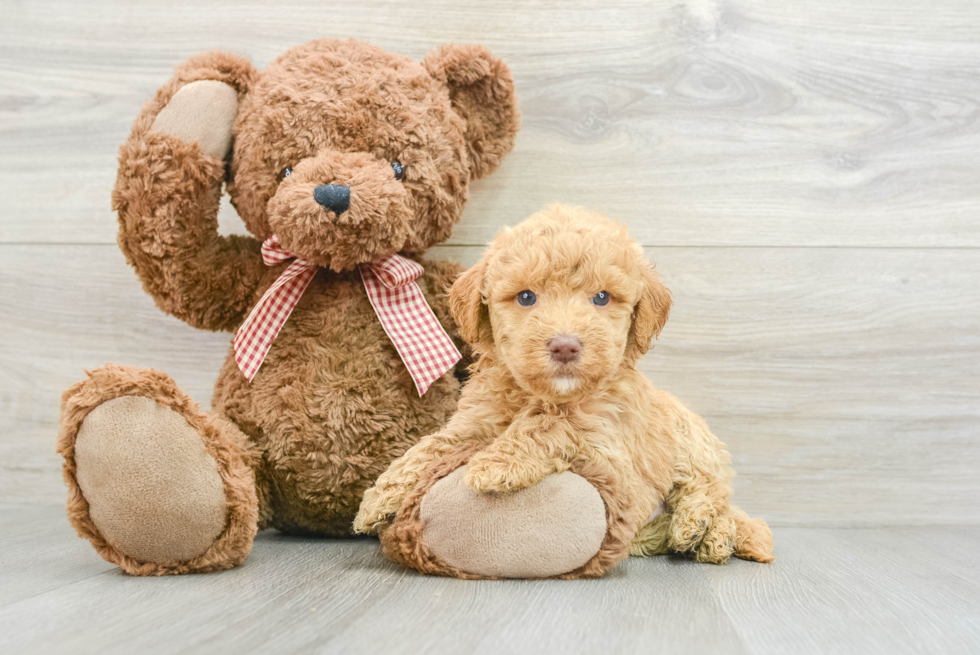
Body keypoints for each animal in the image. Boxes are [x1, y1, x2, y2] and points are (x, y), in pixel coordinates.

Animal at [356, 205, 776, 580]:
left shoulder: (610, 444)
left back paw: (701, 528)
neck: (541, 395)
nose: (565, 346)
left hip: (694, 443)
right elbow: (432, 445)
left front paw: (495, 464)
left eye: (602, 297)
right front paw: (378, 498)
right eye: (526, 297)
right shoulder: (474, 422)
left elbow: (551, 425)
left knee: (711, 492)